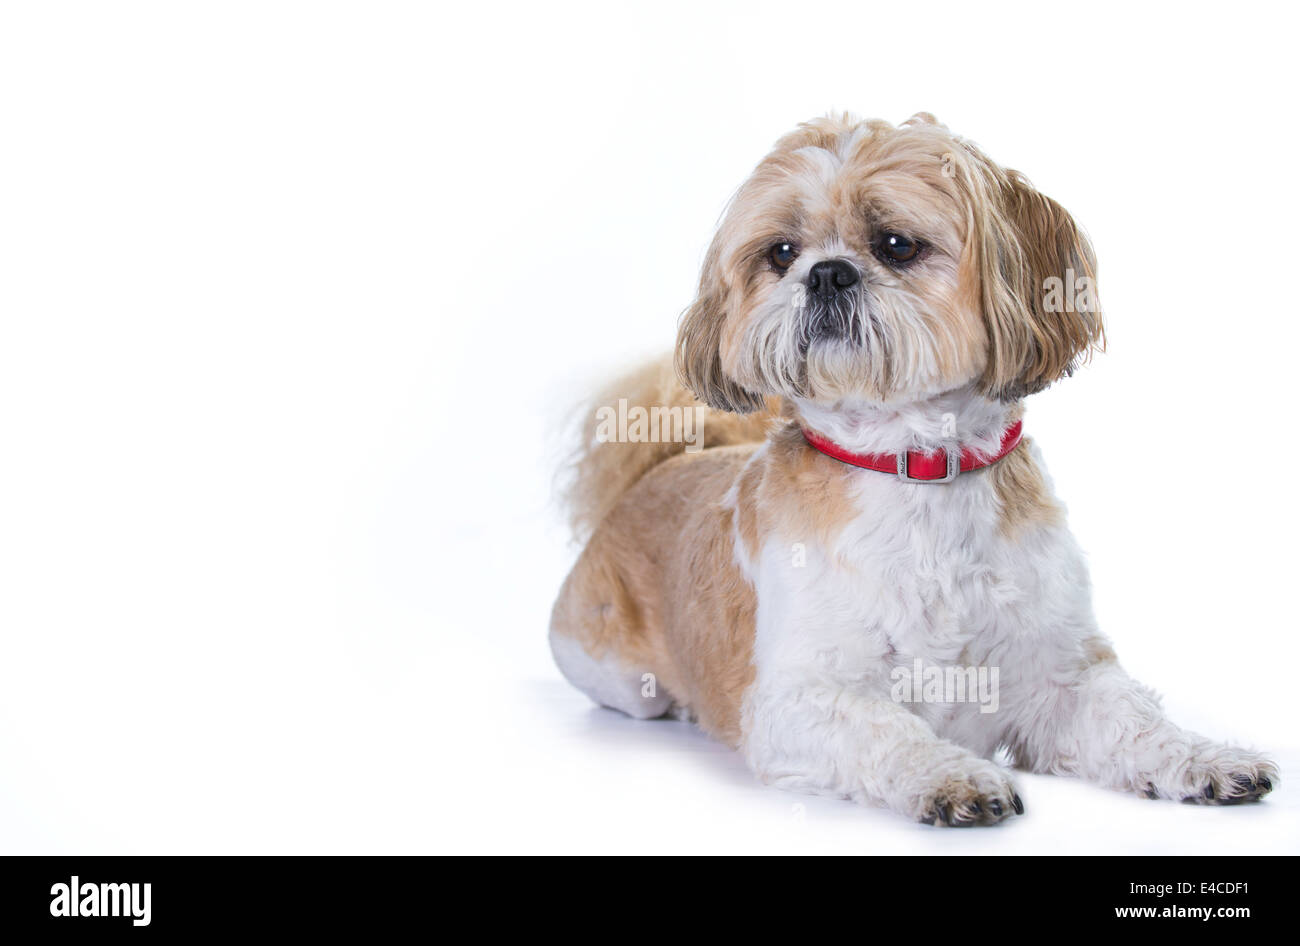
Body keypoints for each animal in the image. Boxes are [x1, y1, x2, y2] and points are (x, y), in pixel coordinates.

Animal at [551, 112, 1279, 826]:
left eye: (897, 244)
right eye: (781, 253)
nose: (827, 272)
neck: (916, 465)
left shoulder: (1060, 675)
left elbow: (1134, 722)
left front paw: (1207, 758)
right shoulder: (798, 700)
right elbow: (886, 730)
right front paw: (954, 775)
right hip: (608, 667)